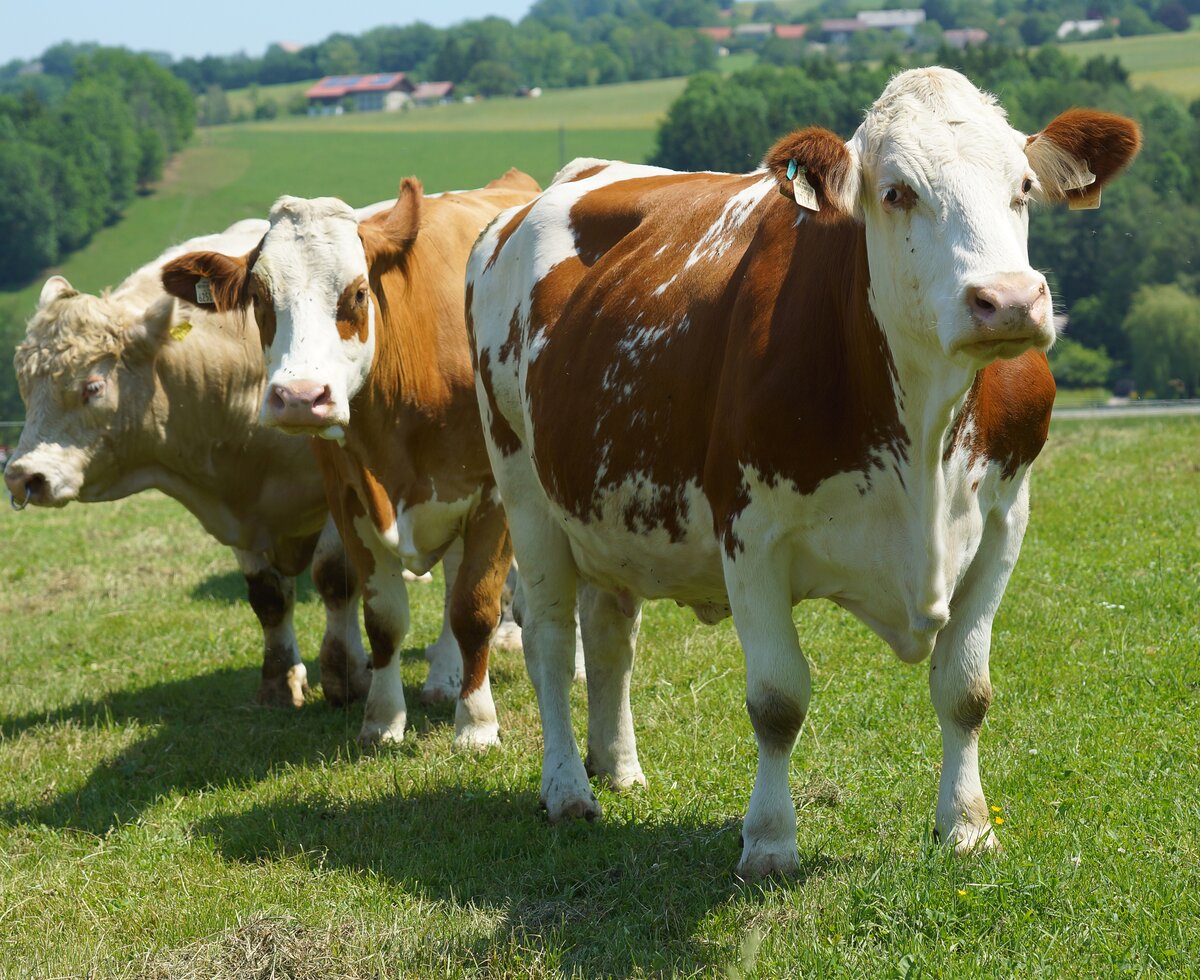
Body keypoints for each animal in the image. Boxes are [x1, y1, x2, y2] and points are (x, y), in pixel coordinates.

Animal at [4, 219, 369, 710]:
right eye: (24, 385)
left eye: (93, 387)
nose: (22, 477)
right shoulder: (242, 514)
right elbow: (268, 598)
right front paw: (278, 683)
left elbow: (334, 577)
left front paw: (346, 679)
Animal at [157, 170, 542, 748]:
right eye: (259, 295)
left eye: (358, 293)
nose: (299, 397)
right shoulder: (350, 496)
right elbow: (383, 617)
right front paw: (382, 720)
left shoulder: (493, 495)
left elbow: (474, 609)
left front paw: (476, 725)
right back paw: (443, 679)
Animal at [463, 70, 1137, 878]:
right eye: (897, 191)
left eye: (1024, 187)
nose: (1007, 300)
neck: (923, 429)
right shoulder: (749, 533)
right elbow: (778, 699)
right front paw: (769, 841)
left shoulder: (1006, 520)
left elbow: (966, 690)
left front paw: (967, 827)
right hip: (524, 492)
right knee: (551, 643)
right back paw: (568, 788)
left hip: (608, 508)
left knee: (609, 634)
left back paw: (617, 764)